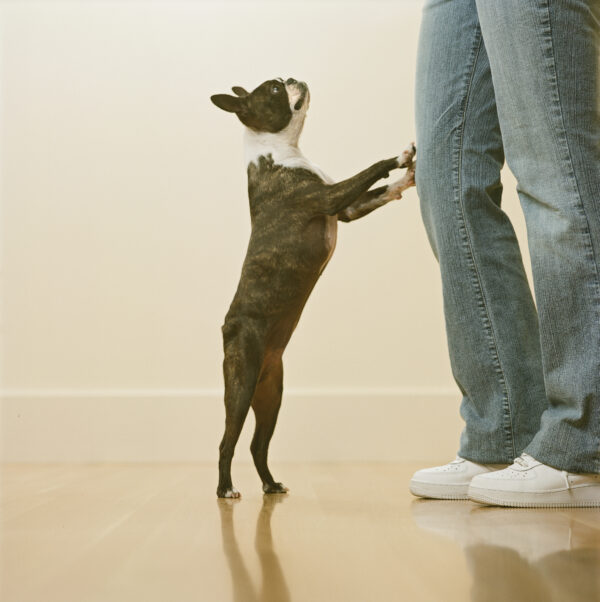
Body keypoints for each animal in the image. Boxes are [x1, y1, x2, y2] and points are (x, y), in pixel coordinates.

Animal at [212, 76, 418, 496]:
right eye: (274, 90)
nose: (291, 77)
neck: (281, 151)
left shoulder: (347, 209)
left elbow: (379, 192)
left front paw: (405, 180)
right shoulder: (327, 197)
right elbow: (371, 169)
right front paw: (399, 158)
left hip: (271, 393)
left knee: (258, 444)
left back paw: (271, 485)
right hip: (240, 385)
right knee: (228, 441)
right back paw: (226, 489)